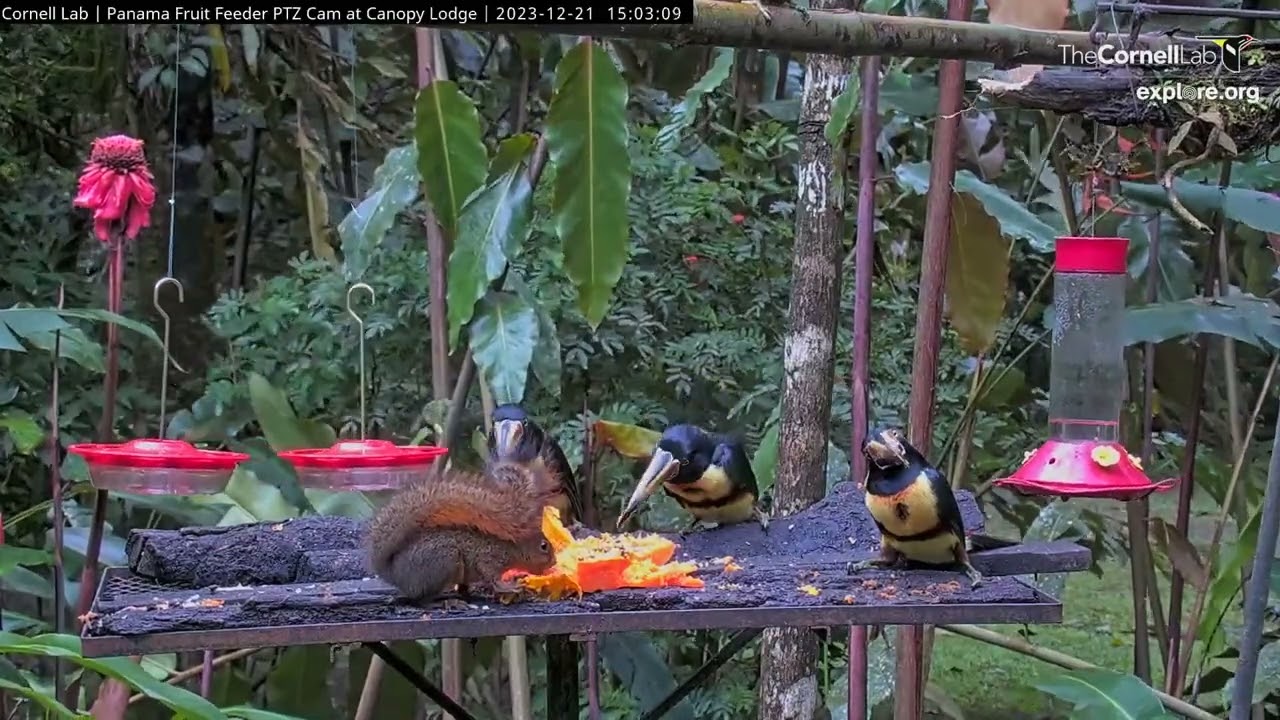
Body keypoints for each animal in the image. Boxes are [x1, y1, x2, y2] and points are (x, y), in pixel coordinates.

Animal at [366, 460, 561, 604]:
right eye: (544, 546)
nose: (554, 561)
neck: (510, 546)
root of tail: (392, 572)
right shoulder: (489, 557)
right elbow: (492, 577)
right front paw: (508, 587)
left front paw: (518, 576)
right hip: (444, 561)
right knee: (422, 599)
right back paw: (444, 601)